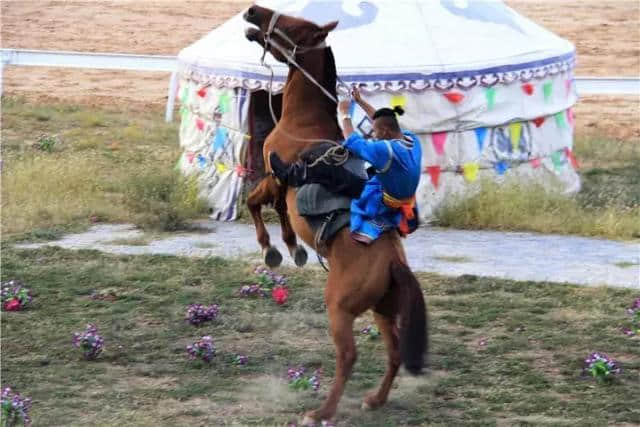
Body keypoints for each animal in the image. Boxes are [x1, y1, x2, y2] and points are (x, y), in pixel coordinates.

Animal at [245, 5, 430, 424]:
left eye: (294, 25)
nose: (252, 11)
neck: (302, 123)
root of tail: (394, 263)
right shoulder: (280, 188)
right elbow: (274, 210)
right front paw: (292, 247)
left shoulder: (274, 178)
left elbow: (256, 202)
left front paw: (275, 249)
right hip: (383, 310)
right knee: (395, 352)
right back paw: (374, 400)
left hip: (340, 309)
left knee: (348, 355)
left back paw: (321, 411)